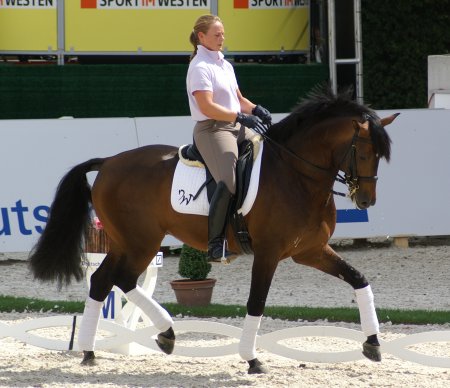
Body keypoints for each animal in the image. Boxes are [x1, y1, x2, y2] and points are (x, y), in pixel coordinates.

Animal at [29, 87, 398, 372]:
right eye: (363, 152)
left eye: (380, 155)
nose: (366, 200)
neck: (295, 174)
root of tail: (108, 162)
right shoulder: (268, 253)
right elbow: (256, 302)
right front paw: (252, 359)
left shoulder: (309, 250)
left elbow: (358, 279)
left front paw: (373, 343)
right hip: (141, 242)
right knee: (121, 279)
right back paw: (165, 333)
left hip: (124, 242)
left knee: (102, 280)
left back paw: (92, 351)